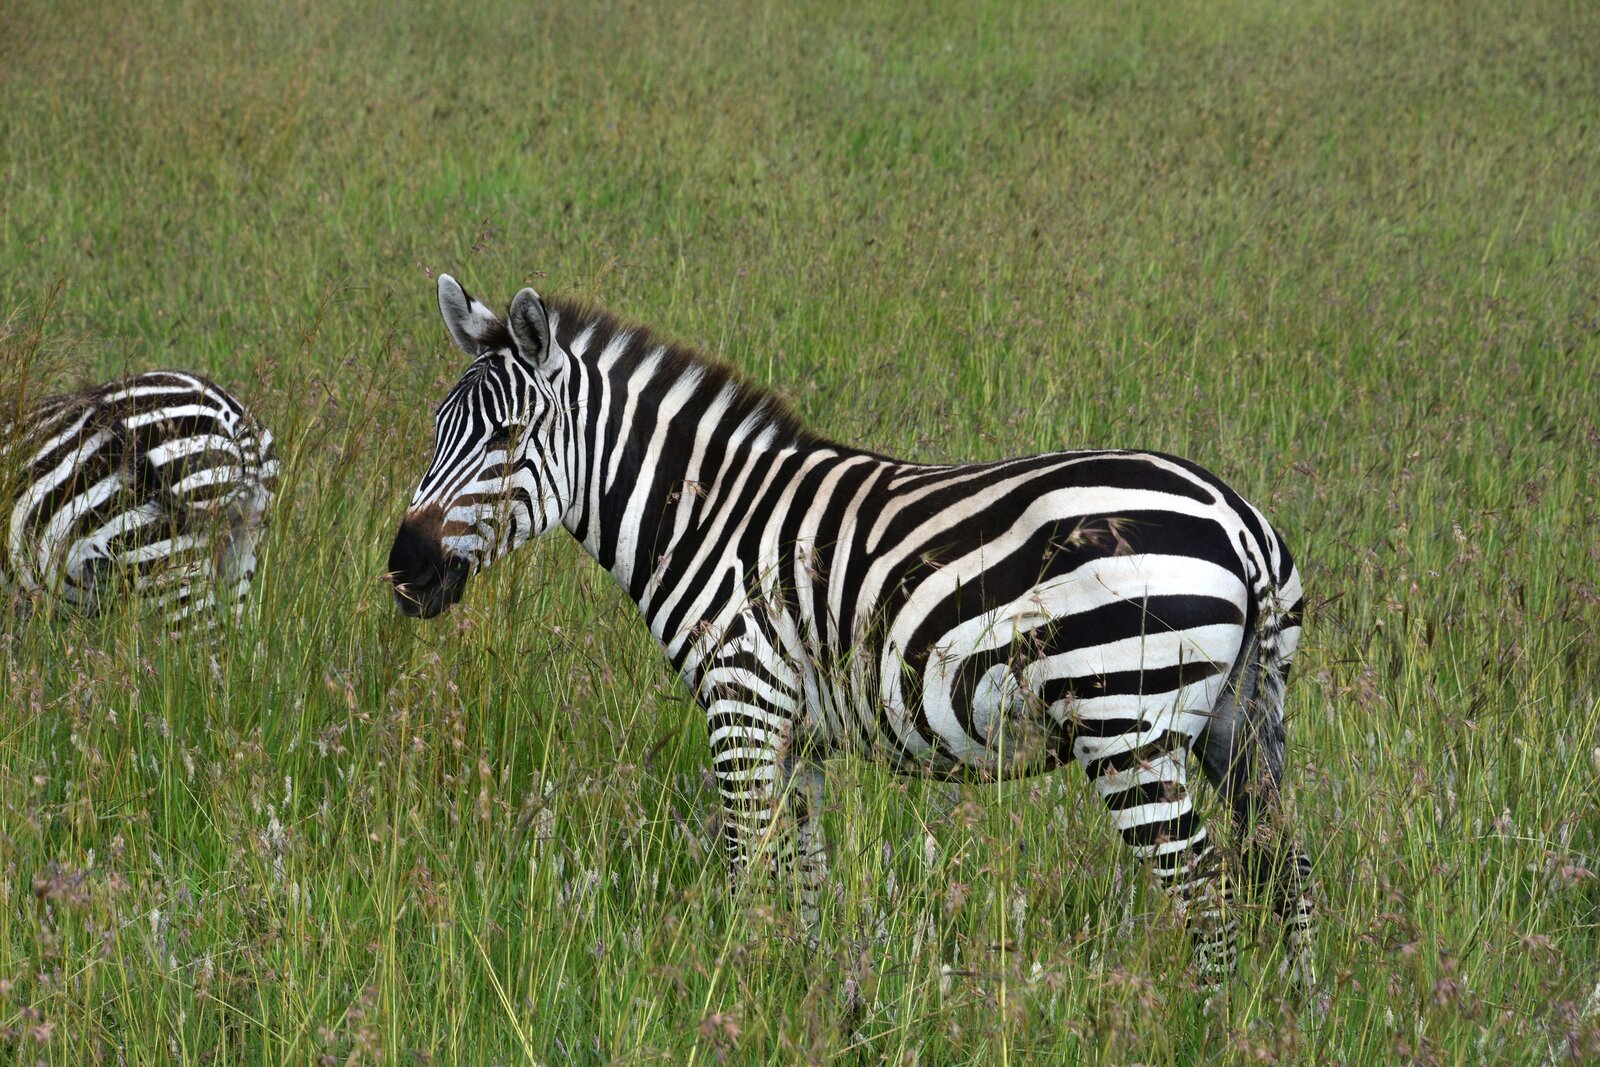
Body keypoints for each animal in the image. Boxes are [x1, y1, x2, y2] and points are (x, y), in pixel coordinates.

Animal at [387, 274, 1316, 989]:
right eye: (437, 430)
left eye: (509, 437)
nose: (403, 570)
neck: (707, 521)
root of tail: (1238, 520)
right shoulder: (799, 736)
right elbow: (807, 884)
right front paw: (811, 1001)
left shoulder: (743, 704)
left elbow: (746, 871)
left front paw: (736, 995)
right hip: (1242, 721)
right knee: (1289, 871)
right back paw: (1291, 1019)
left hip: (1128, 726)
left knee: (1209, 895)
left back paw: (1210, 1024)